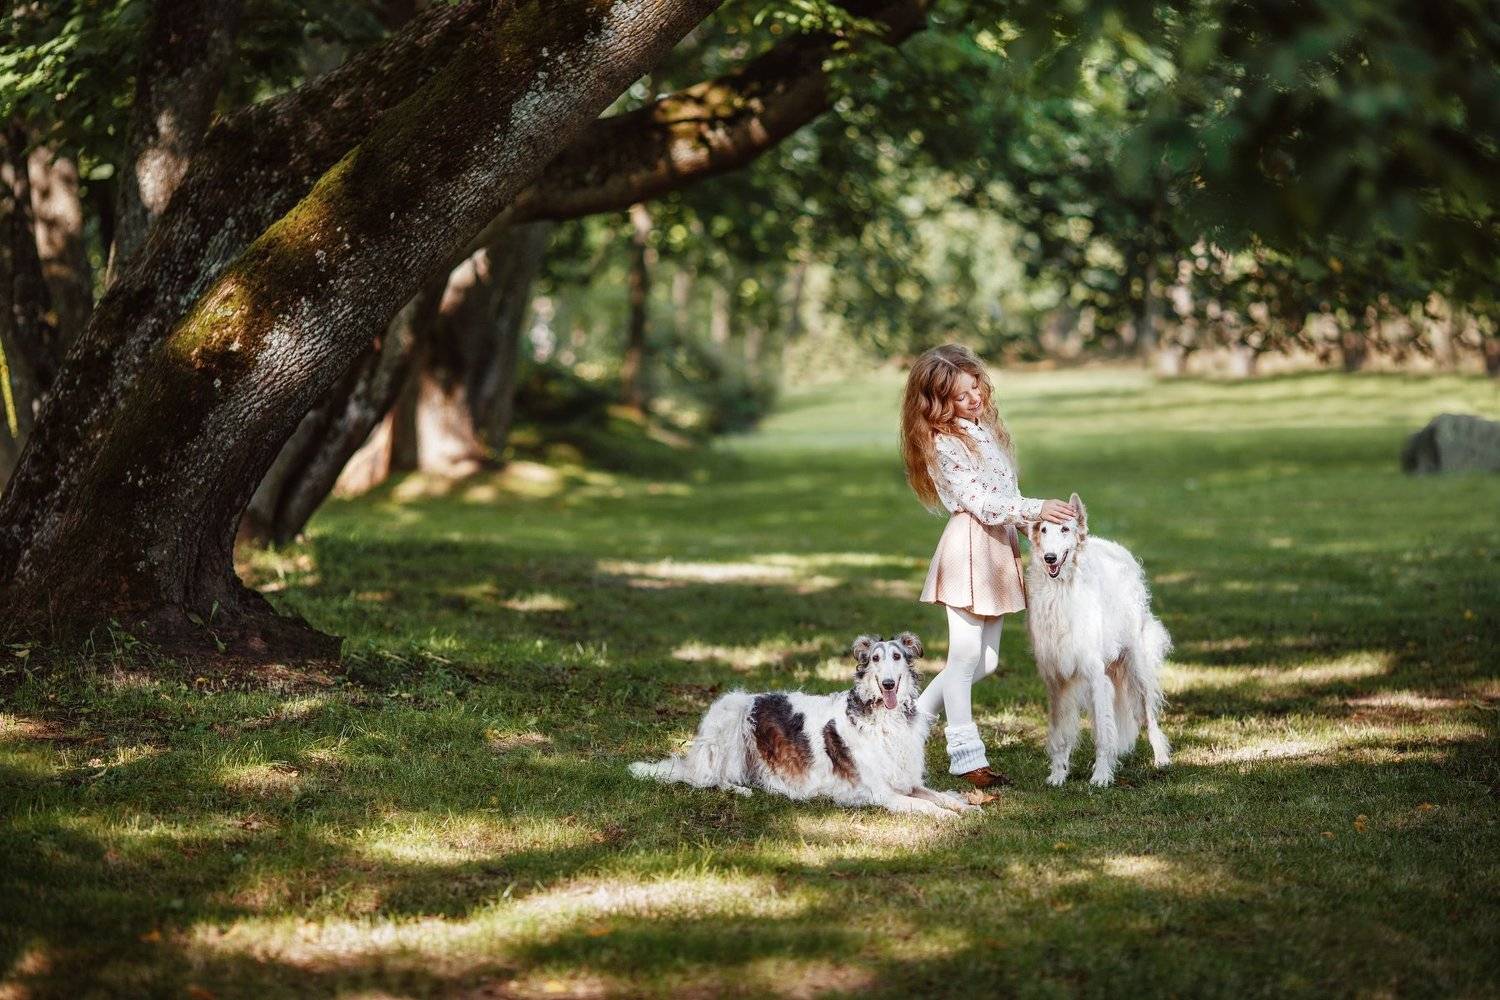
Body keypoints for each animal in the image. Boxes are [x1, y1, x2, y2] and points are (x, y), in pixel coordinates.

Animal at [629, 633, 978, 817]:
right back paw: (741, 790)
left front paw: (969, 809)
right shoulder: (881, 792)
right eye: (876, 659)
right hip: (730, 717)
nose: (889, 684)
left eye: (897, 656)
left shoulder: (906, 781)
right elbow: (927, 807)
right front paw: (951, 817)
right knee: (710, 780)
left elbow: (939, 796)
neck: (882, 718)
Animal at [1025, 493, 1172, 787]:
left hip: (1136, 664)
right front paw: (1058, 775)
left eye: (1065, 529)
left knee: (1148, 715)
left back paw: (1161, 758)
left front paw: (1101, 776)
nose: (1050, 558)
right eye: (1043, 529)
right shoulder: (1056, 681)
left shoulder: (1095, 676)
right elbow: (1059, 736)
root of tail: (1117, 548)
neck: (1061, 592)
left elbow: (1103, 736)